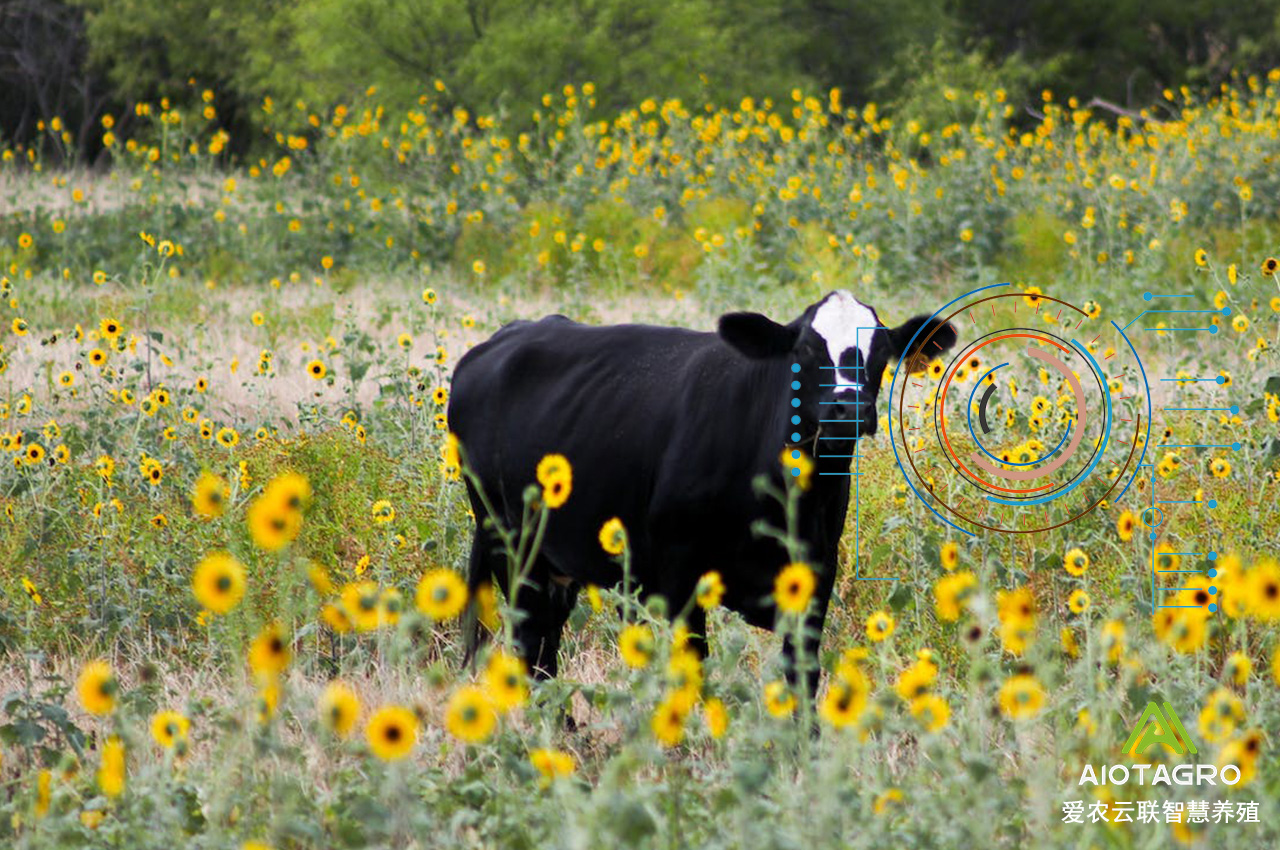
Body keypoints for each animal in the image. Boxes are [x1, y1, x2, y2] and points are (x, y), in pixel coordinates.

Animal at [445, 289, 957, 696]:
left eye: (881, 351)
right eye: (806, 349)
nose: (848, 409)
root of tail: (498, 342)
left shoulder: (817, 571)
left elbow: (802, 677)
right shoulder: (680, 572)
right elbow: (692, 667)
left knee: (544, 651)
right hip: (512, 547)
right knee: (529, 648)